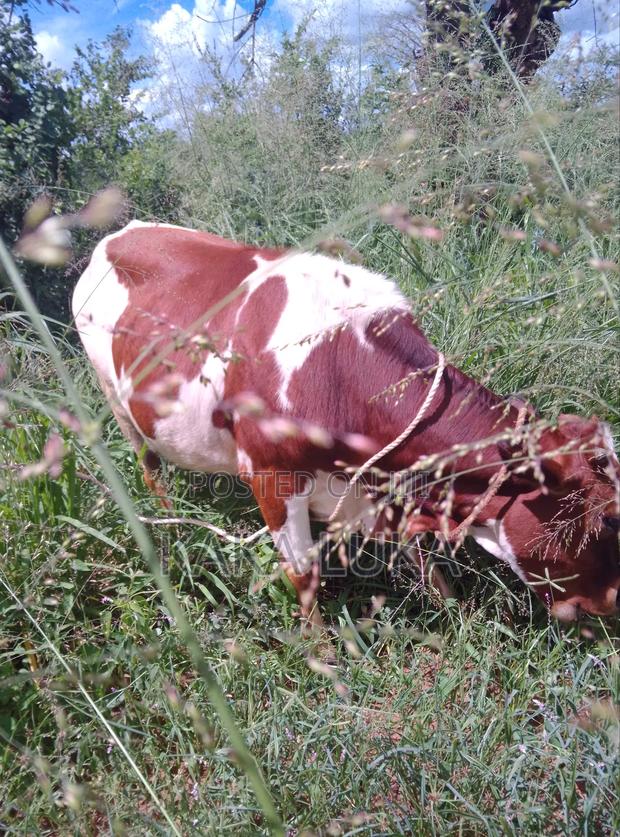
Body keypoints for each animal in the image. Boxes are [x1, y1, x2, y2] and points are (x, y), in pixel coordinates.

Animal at [72, 221, 620, 629]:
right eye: (606, 520)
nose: (613, 603)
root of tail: (117, 235)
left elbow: (420, 553)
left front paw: (449, 605)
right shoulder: (271, 477)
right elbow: (302, 576)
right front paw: (322, 656)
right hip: (114, 399)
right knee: (148, 466)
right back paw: (171, 524)